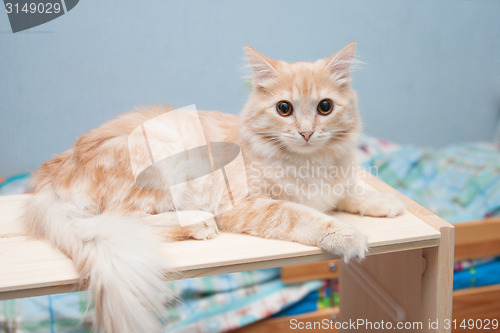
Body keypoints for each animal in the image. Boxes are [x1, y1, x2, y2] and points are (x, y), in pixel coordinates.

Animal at [24, 42, 406, 332]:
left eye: (325, 107)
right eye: (284, 109)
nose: (307, 133)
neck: (310, 163)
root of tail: (48, 176)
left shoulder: (334, 187)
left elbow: (352, 193)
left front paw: (387, 202)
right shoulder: (246, 204)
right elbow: (304, 216)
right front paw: (348, 236)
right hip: (160, 165)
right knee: (124, 220)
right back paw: (198, 223)